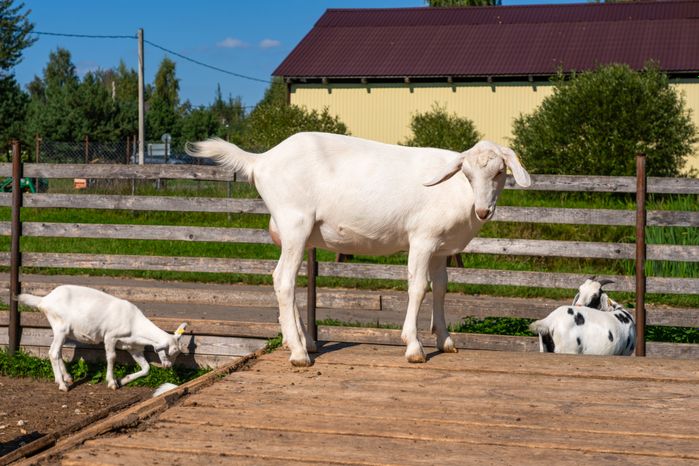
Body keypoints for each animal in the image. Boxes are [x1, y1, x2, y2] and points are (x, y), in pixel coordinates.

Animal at [18, 285, 187, 391]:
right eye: (170, 353)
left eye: (178, 353)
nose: (168, 366)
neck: (134, 323)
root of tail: (44, 300)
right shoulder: (110, 336)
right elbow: (112, 357)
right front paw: (112, 382)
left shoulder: (133, 347)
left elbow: (146, 368)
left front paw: (123, 380)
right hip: (61, 327)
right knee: (53, 352)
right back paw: (62, 384)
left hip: (62, 331)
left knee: (58, 352)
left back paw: (67, 377)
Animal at [187, 132, 531, 366]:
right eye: (468, 174)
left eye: (499, 172)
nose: (483, 210)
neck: (456, 191)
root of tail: (261, 160)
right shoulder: (422, 239)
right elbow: (418, 287)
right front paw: (413, 346)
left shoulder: (441, 249)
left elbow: (442, 289)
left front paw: (446, 340)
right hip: (294, 221)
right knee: (283, 279)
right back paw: (299, 354)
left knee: (288, 281)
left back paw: (302, 342)